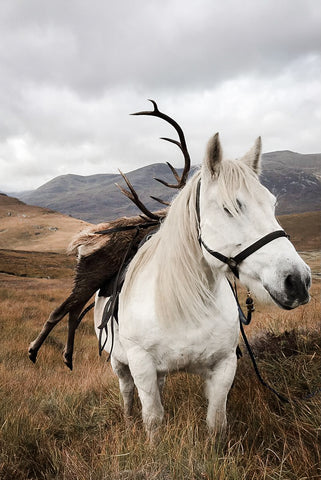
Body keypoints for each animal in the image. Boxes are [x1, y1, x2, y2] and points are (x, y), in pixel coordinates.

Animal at [94, 133, 310, 440]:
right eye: (229, 207)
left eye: (272, 204)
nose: (297, 281)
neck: (186, 303)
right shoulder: (141, 364)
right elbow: (153, 420)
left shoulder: (224, 365)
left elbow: (216, 421)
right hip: (119, 363)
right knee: (127, 392)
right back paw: (127, 419)